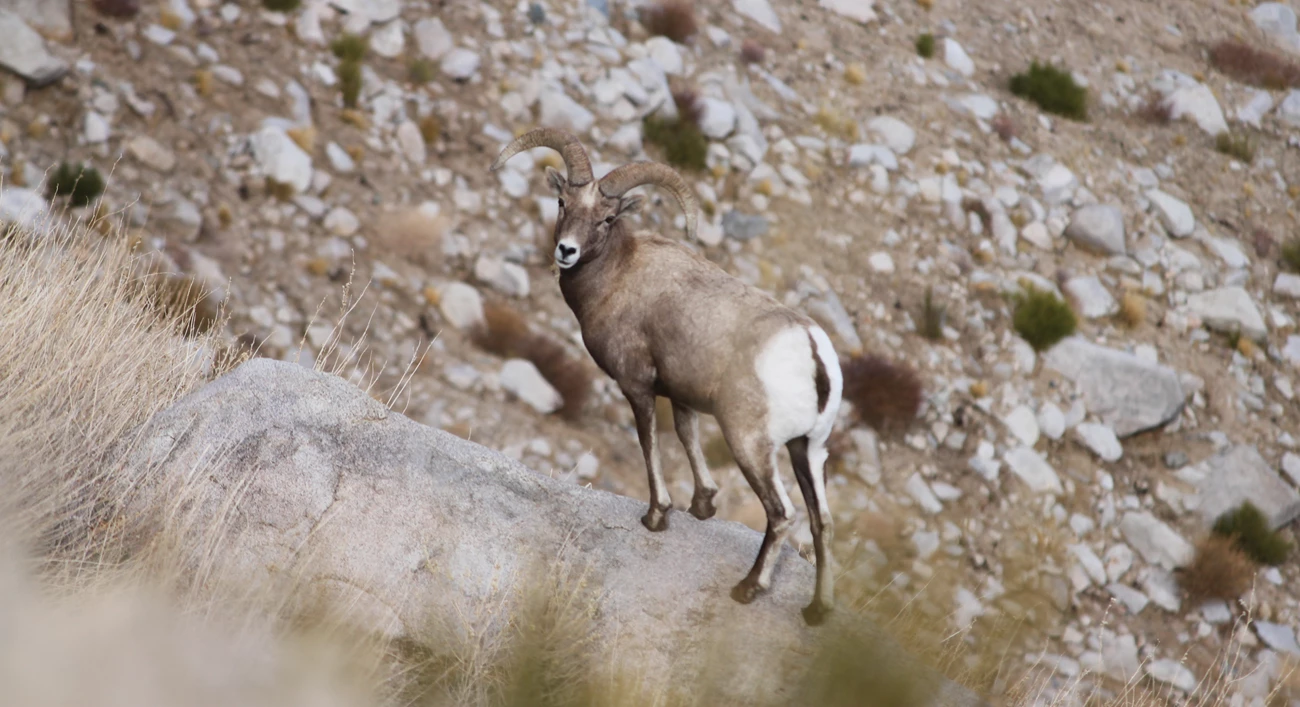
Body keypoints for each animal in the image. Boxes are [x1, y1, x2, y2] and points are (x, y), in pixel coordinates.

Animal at [490, 128, 843, 626]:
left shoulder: (637, 387)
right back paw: (817, 610)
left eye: (607, 217)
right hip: (808, 450)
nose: (566, 251)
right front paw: (703, 505)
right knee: (822, 522)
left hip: (752, 446)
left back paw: (748, 589)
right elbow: (686, 435)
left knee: (782, 514)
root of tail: (811, 350)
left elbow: (649, 442)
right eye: (562, 203)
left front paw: (657, 516)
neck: (619, 277)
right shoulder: (682, 396)